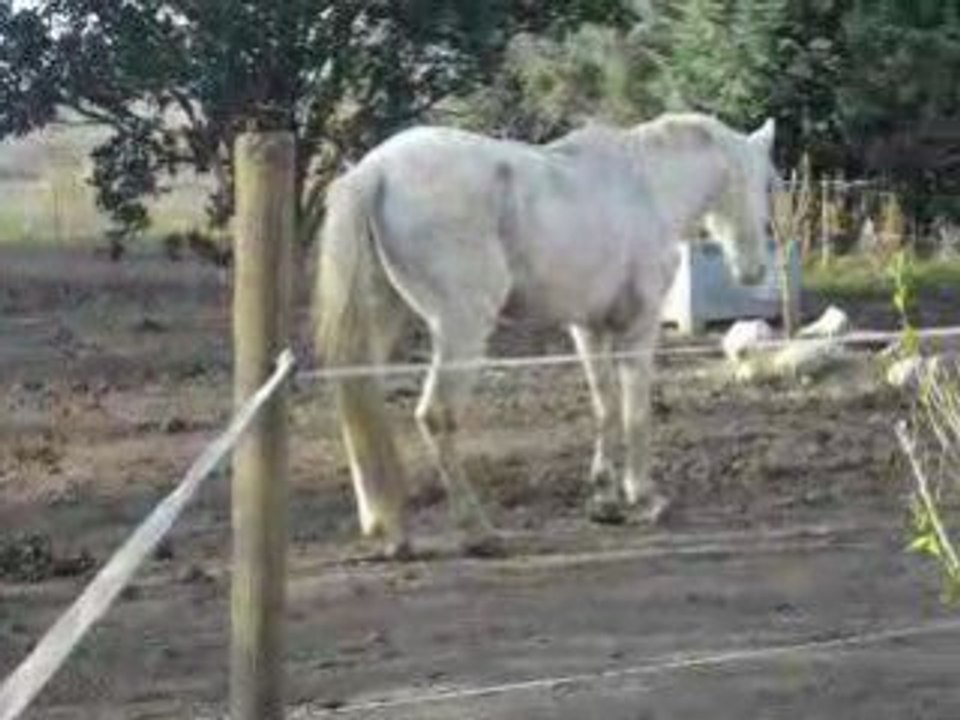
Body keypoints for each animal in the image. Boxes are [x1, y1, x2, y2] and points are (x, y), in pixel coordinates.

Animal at [315, 112, 777, 557]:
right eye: (759, 181)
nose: (754, 270)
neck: (645, 187)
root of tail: (377, 170)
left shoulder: (588, 329)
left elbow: (606, 406)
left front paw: (606, 501)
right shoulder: (638, 328)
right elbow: (635, 412)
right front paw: (644, 498)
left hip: (383, 323)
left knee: (362, 404)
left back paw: (390, 533)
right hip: (461, 327)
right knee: (436, 416)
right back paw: (477, 532)